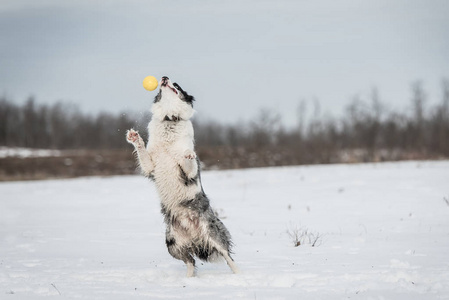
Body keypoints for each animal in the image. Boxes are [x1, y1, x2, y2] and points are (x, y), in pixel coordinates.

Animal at [125, 75, 238, 276]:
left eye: (176, 85)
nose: (164, 77)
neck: (169, 120)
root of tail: (194, 234)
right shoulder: (150, 166)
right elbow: (142, 153)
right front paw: (135, 138)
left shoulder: (188, 172)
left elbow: (188, 161)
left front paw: (188, 154)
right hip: (173, 243)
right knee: (190, 261)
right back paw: (188, 279)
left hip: (213, 234)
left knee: (227, 256)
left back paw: (239, 274)